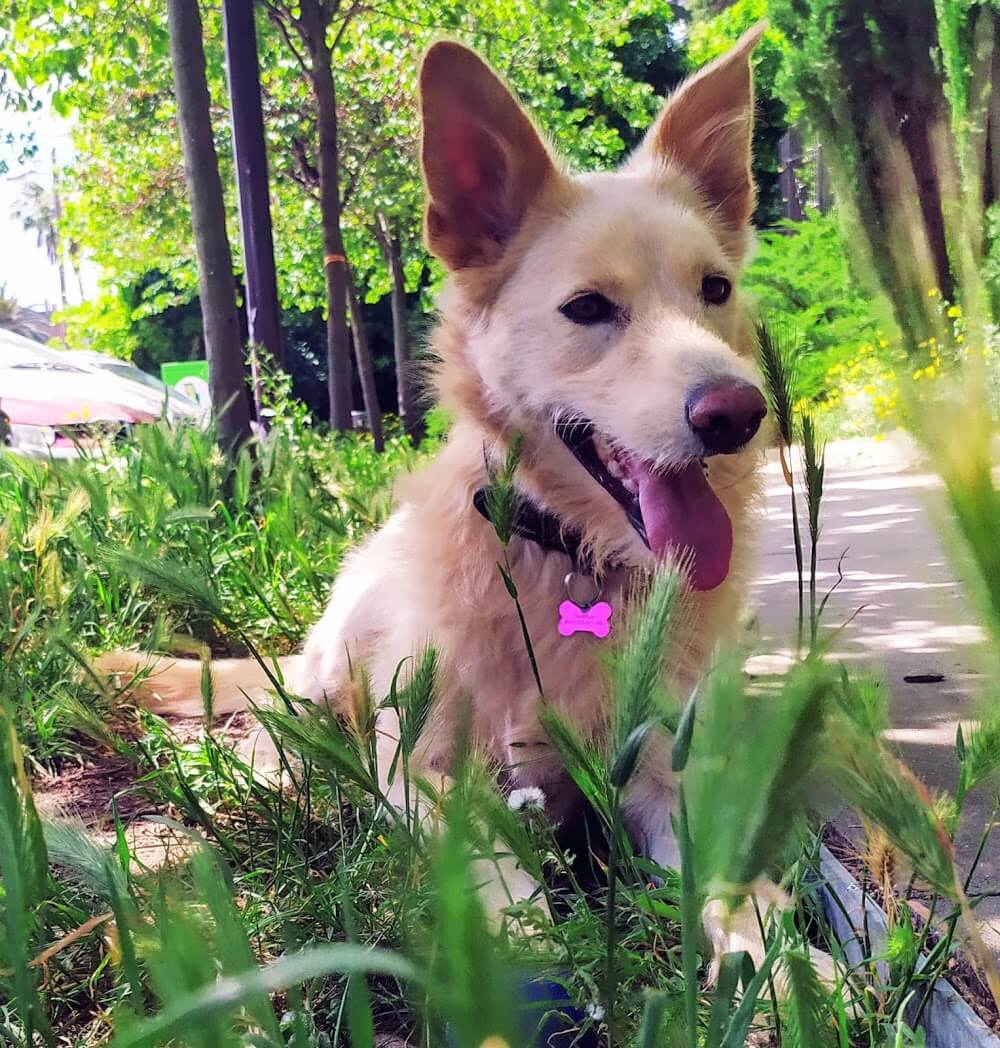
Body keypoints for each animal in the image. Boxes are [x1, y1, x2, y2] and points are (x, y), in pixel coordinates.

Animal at [99, 24, 821, 995]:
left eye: (714, 289)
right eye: (588, 308)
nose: (738, 413)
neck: (569, 559)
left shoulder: (667, 777)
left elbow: (732, 877)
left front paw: (786, 961)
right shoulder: (423, 771)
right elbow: (499, 870)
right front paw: (532, 954)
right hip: (342, 657)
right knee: (295, 713)